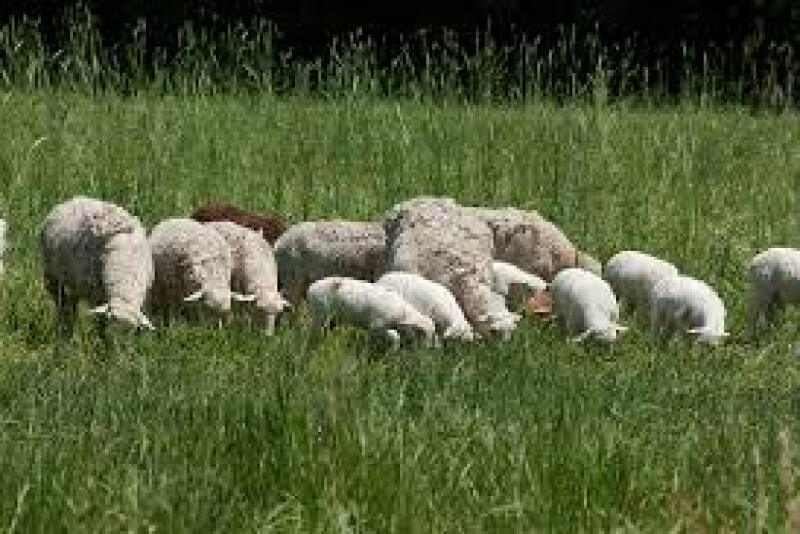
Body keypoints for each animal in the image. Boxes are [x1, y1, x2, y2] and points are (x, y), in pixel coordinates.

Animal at [41, 196, 154, 333]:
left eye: (131, 332)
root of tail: (76, 198)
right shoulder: (96, 295)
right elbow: (101, 324)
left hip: (75, 283)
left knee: (71, 303)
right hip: (52, 275)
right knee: (61, 302)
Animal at [307, 276, 436, 349]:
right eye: (424, 334)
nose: (428, 349)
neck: (403, 312)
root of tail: (311, 288)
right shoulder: (377, 325)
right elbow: (395, 336)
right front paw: (393, 350)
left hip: (331, 318)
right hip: (320, 312)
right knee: (315, 331)